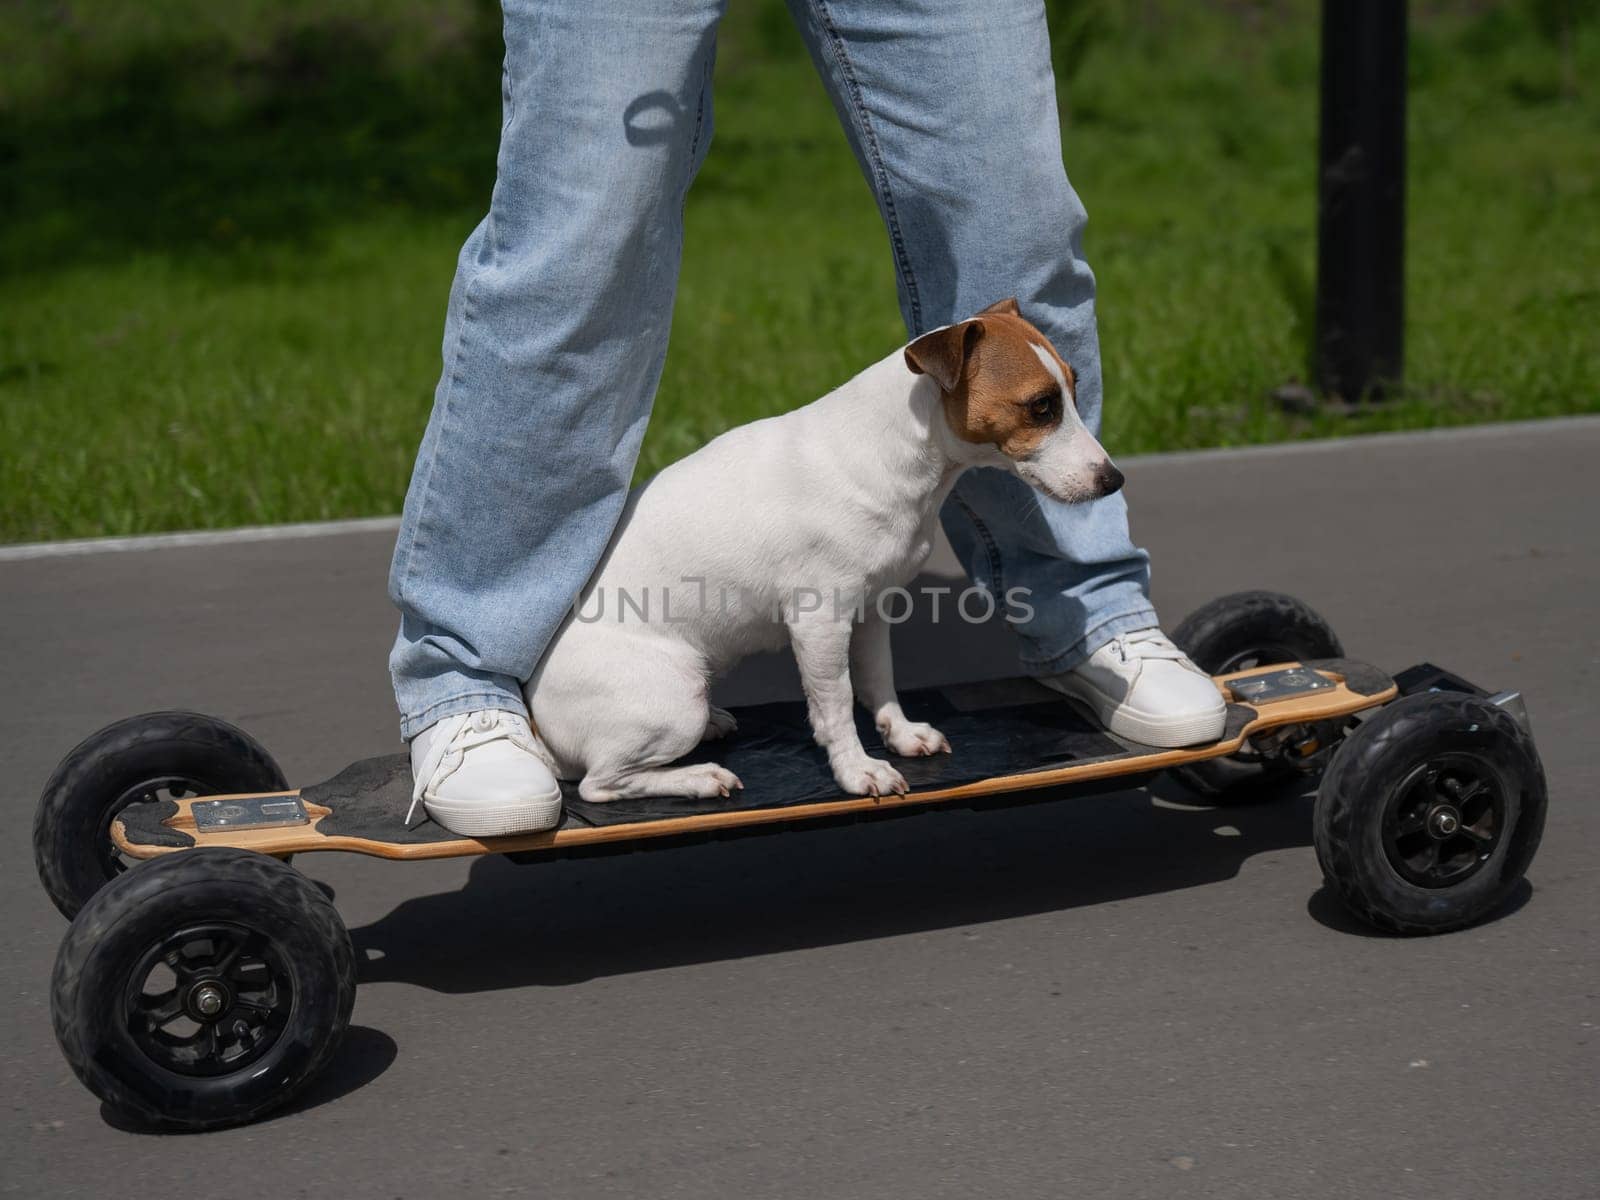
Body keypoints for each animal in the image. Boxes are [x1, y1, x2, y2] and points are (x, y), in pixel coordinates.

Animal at [524, 299, 1126, 809]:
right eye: (1041, 407)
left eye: (1075, 389)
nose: (1114, 479)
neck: (897, 452)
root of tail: (537, 723)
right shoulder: (819, 623)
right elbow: (835, 706)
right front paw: (858, 770)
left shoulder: (874, 609)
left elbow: (879, 679)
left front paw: (900, 734)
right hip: (673, 697)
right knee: (601, 784)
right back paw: (696, 778)